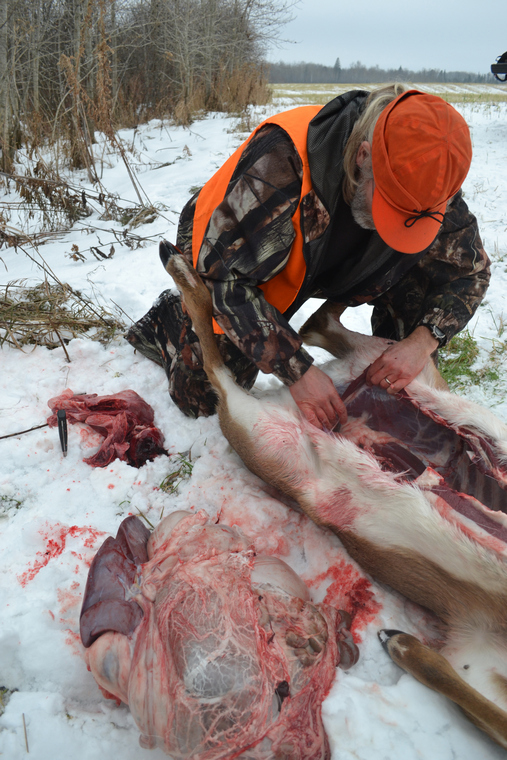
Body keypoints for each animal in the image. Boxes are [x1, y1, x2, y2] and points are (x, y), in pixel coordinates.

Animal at [160, 242, 507, 750]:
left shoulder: (478, 660)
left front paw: (402, 643)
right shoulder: (480, 663)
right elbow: (484, 709)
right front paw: (401, 643)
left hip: (377, 372)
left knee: (307, 333)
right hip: (273, 434)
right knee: (218, 365)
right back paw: (182, 266)